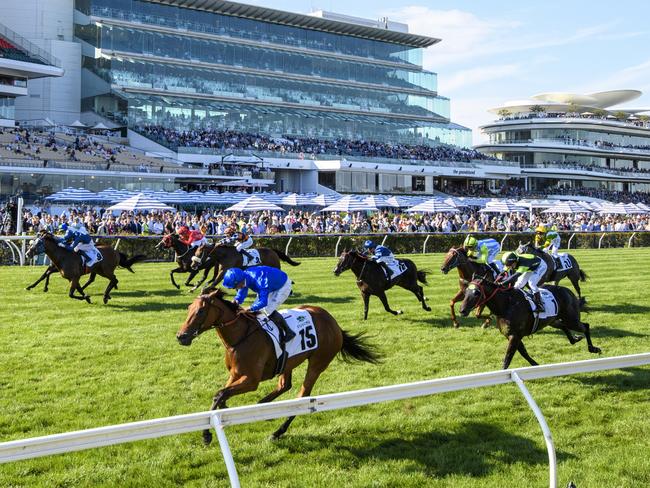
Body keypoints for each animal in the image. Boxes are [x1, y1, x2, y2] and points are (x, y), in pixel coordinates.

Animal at [175, 288, 382, 444]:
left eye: (201, 311)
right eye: (189, 308)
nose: (181, 336)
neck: (240, 337)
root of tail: (334, 322)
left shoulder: (251, 380)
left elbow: (219, 394)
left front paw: (206, 434)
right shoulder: (235, 374)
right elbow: (220, 394)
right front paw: (221, 413)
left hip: (318, 362)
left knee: (303, 395)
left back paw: (277, 431)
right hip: (288, 361)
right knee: (284, 385)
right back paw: (264, 407)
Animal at [456, 276, 596, 368]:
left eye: (476, 292)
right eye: (465, 291)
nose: (462, 310)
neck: (506, 305)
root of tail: (569, 291)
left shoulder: (515, 336)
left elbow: (508, 358)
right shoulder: (512, 335)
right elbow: (523, 353)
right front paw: (535, 364)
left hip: (571, 319)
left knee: (585, 326)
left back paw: (593, 348)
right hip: (552, 320)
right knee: (564, 327)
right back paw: (575, 339)